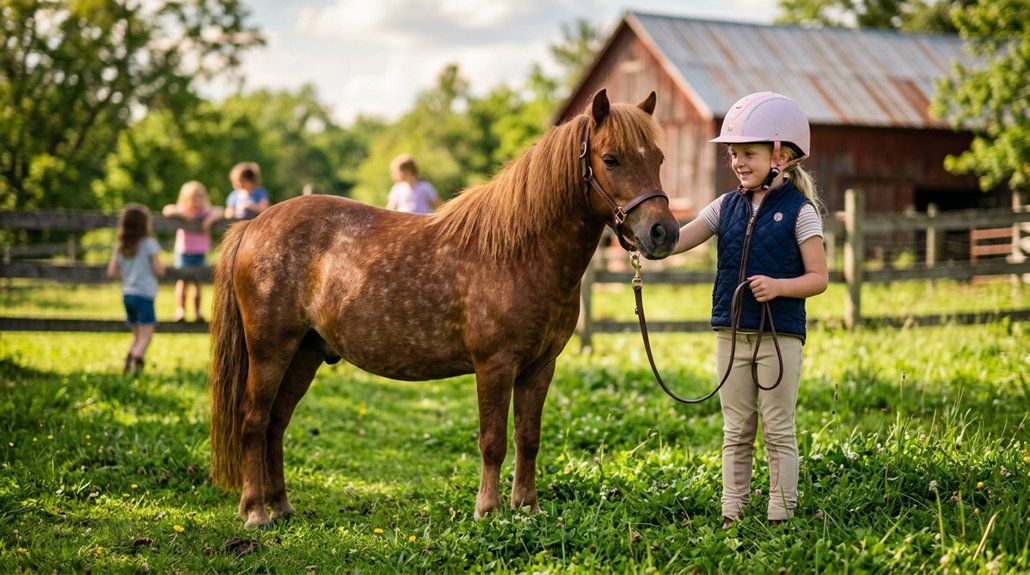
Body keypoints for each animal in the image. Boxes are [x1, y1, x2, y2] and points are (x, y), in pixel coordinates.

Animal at [208, 88, 681, 528]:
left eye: (660, 158)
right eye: (611, 158)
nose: (663, 233)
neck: (520, 252)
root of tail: (253, 224)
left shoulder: (540, 367)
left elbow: (528, 438)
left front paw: (528, 509)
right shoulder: (495, 365)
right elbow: (493, 441)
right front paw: (488, 511)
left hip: (304, 354)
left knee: (276, 423)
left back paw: (282, 506)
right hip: (270, 351)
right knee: (254, 421)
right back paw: (256, 512)